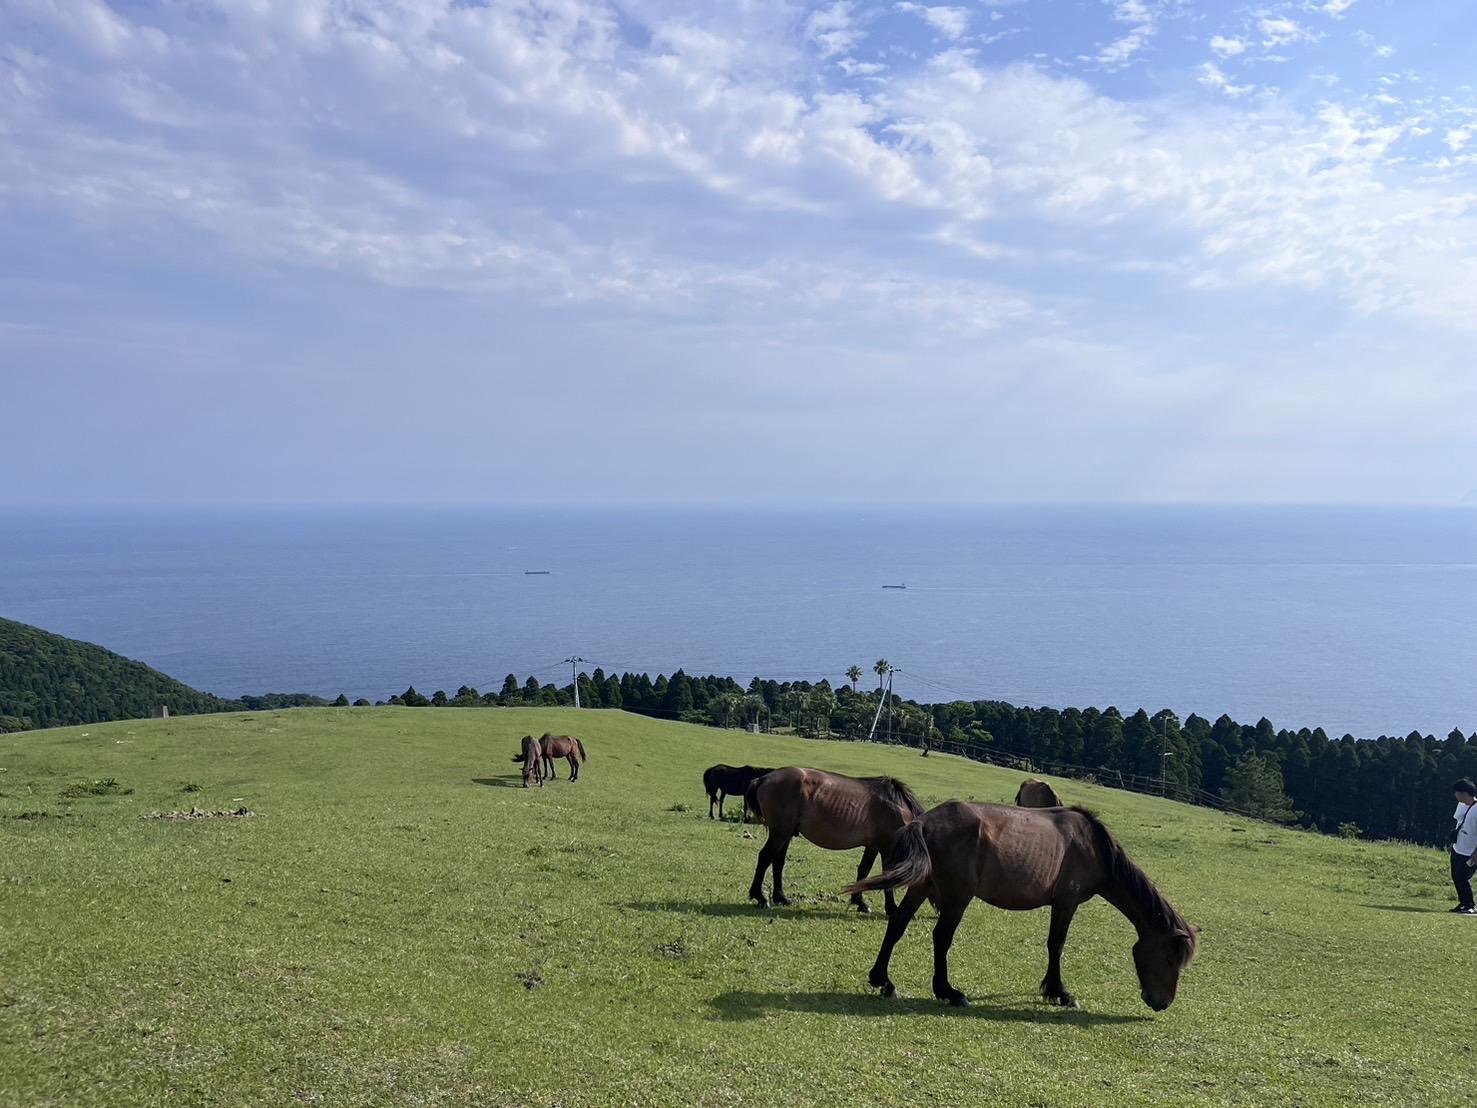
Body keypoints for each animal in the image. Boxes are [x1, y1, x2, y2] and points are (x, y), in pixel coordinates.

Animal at [750, 768, 921, 915]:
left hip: (786, 835)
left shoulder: (873, 846)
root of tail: (764, 778)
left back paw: (781, 898)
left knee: (778, 862)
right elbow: (888, 875)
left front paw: (860, 902)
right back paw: (760, 898)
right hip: (779, 834)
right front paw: (891, 908)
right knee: (765, 858)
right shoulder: (887, 846)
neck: (898, 807)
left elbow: (864, 870)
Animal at [844, 809, 1199, 1016]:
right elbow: (1056, 945)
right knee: (941, 937)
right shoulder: (1066, 902)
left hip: (921, 887)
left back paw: (883, 981)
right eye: (1170, 960)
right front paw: (1060, 992)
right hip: (958, 897)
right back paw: (949, 991)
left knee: (898, 924)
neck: (1093, 846)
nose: (1162, 1002)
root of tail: (926, 820)